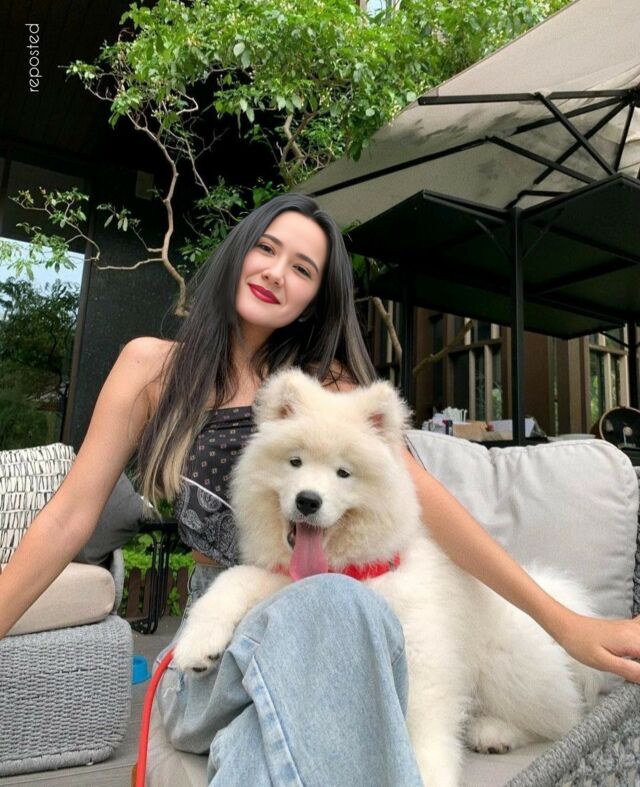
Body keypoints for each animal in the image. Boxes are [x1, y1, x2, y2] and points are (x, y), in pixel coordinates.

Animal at [173, 369, 602, 786]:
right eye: (294, 462)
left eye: (343, 473)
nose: (308, 500)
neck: (351, 570)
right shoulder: (281, 580)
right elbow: (233, 581)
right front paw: (197, 645)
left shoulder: (423, 647)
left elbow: (425, 720)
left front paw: (429, 773)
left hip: (504, 665)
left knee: (561, 717)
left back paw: (494, 731)